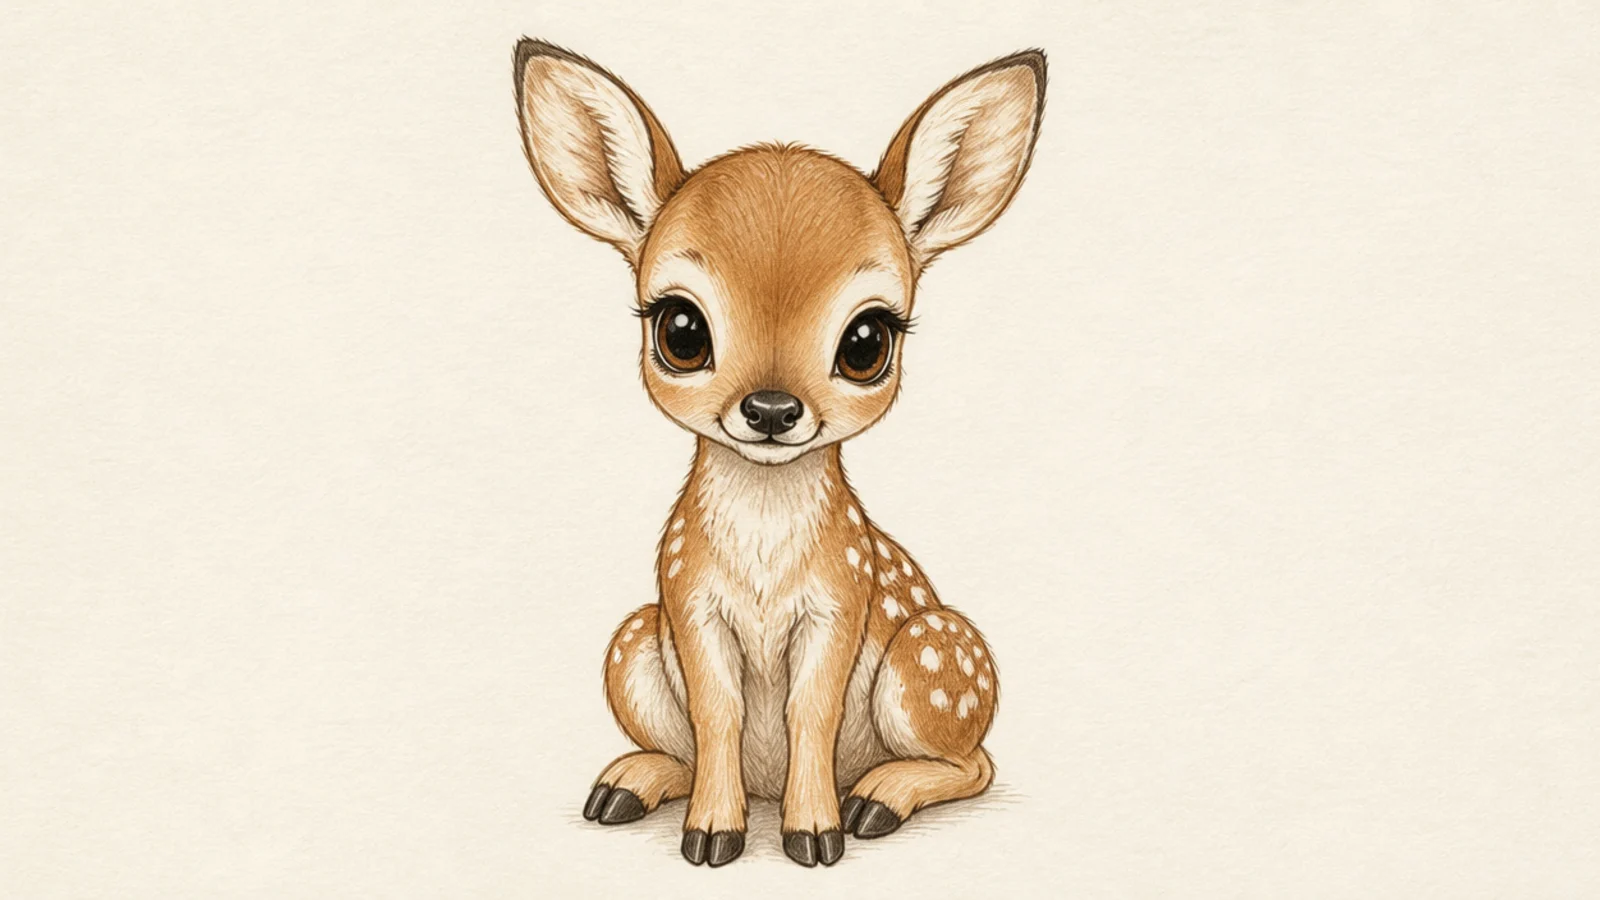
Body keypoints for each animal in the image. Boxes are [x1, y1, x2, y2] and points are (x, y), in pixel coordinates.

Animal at [512, 38, 1045, 868]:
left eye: (867, 342)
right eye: (680, 329)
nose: (769, 408)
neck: (763, 550)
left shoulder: (841, 600)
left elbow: (810, 712)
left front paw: (815, 835)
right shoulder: (689, 601)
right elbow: (720, 713)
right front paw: (711, 835)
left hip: (932, 658)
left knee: (975, 762)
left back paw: (876, 799)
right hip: (633, 642)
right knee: (684, 744)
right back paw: (626, 784)